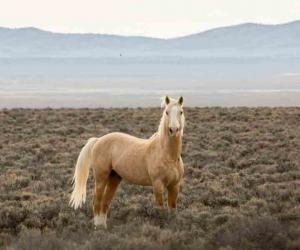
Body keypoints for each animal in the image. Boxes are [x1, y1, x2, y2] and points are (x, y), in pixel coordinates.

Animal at [69, 96, 184, 229]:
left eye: (181, 112)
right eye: (166, 112)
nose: (174, 130)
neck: (168, 155)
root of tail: (98, 140)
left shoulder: (174, 185)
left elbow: (172, 208)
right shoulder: (158, 185)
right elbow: (160, 209)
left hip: (114, 177)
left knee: (105, 202)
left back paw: (103, 227)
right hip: (101, 177)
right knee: (96, 201)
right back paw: (98, 227)